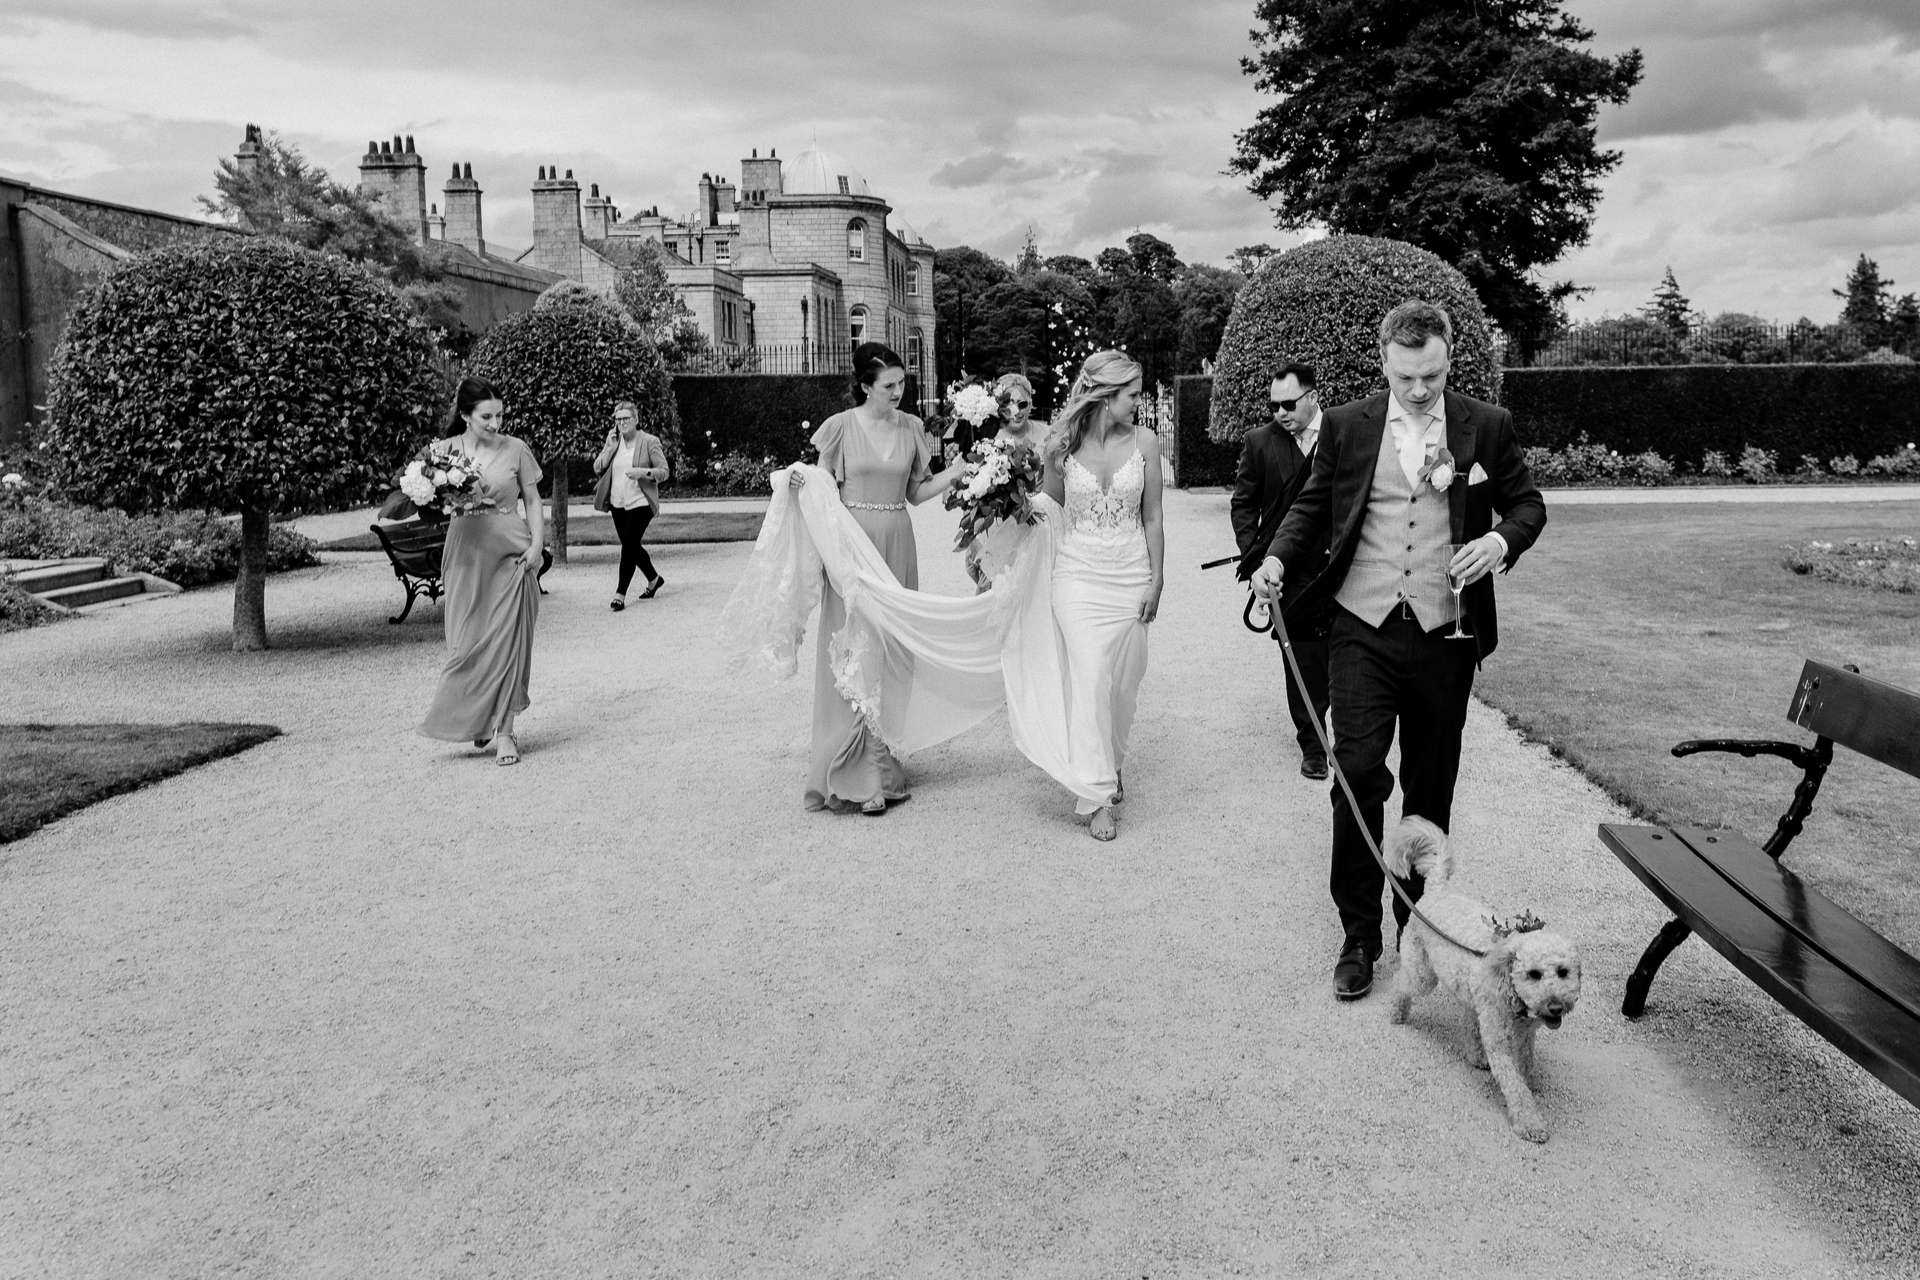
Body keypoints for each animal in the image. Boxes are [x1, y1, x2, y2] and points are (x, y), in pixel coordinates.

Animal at [1390, 817, 1582, 1143]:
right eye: (1533, 974)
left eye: (1563, 971)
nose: (1556, 1007)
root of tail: (1436, 890)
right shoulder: (1500, 1043)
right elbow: (1514, 1086)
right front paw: (1529, 1123)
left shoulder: (1526, 1036)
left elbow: (1526, 1065)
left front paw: (1529, 1082)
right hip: (1422, 974)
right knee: (1400, 982)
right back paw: (1397, 1013)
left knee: (1468, 1020)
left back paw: (1475, 1054)